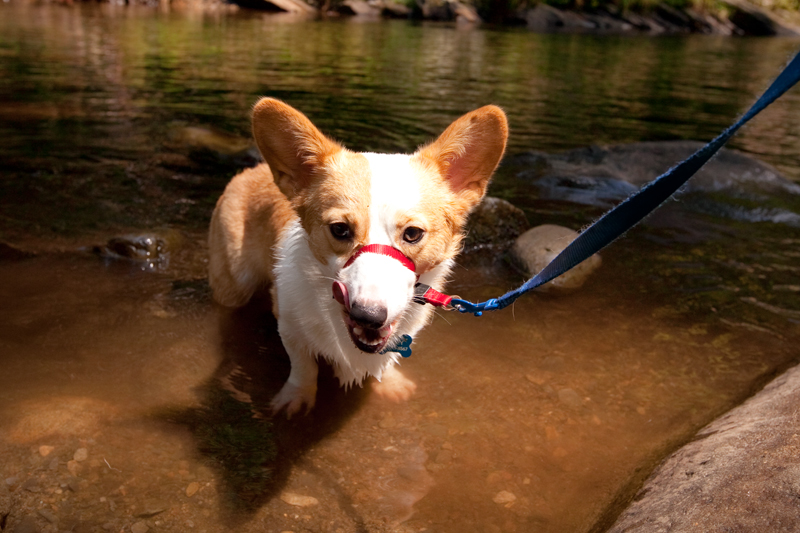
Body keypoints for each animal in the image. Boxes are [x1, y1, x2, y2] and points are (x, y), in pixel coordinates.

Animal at [206, 98, 506, 416]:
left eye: (413, 234)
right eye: (339, 229)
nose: (368, 316)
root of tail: (254, 169)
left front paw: (391, 383)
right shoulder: (290, 325)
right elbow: (303, 366)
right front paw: (295, 399)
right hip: (234, 285)